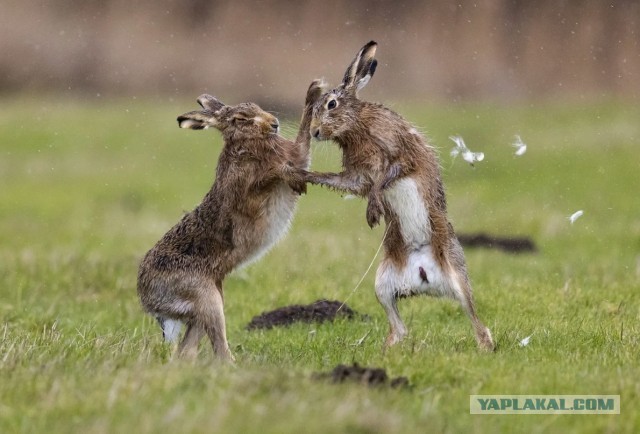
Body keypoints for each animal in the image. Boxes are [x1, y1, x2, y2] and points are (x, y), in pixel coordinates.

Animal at [137, 84, 322, 361]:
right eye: (241, 119)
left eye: (257, 106)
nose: (274, 124)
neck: (244, 147)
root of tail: (147, 299)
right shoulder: (249, 193)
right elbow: (276, 172)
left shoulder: (295, 154)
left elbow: (301, 145)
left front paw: (315, 91)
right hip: (205, 296)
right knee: (217, 348)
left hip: (207, 301)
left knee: (186, 351)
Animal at [304, 41, 495, 351]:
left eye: (332, 104)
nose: (315, 132)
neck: (356, 124)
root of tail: (422, 276)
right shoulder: (357, 174)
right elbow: (347, 183)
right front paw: (301, 174)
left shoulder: (400, 155)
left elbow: (382, 180)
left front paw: (373, 211)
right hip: (382, 285)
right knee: (399, 328)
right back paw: (386, 351)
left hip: (457, 276)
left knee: (477, 322)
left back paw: (485, 348)